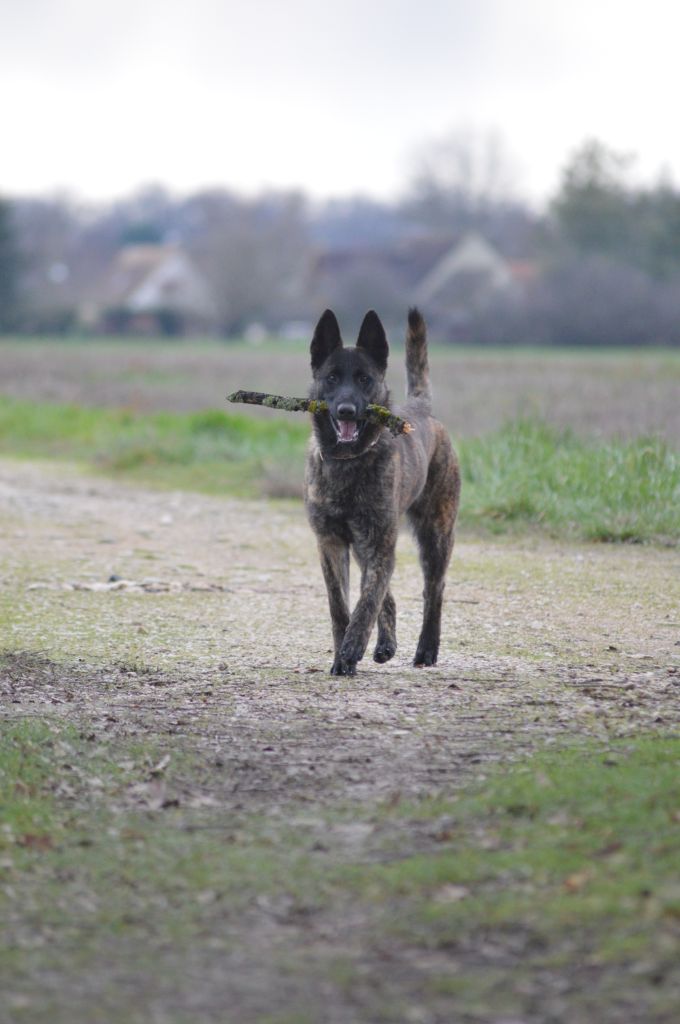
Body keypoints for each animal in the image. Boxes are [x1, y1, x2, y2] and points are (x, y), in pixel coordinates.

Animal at [303, 307, 458, 675]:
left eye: (364, 379)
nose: (346, 410)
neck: (348, 462)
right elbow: (340, 606)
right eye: (332, 378)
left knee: (433, 591)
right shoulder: (331, 544)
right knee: (387, 593)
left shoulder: (379, 543)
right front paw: (341, 656)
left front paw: (352, 647)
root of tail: (422, 409)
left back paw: (426, 649)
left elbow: (368, 601)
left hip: (435, 535)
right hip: (365, 546)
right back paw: (386, 644)